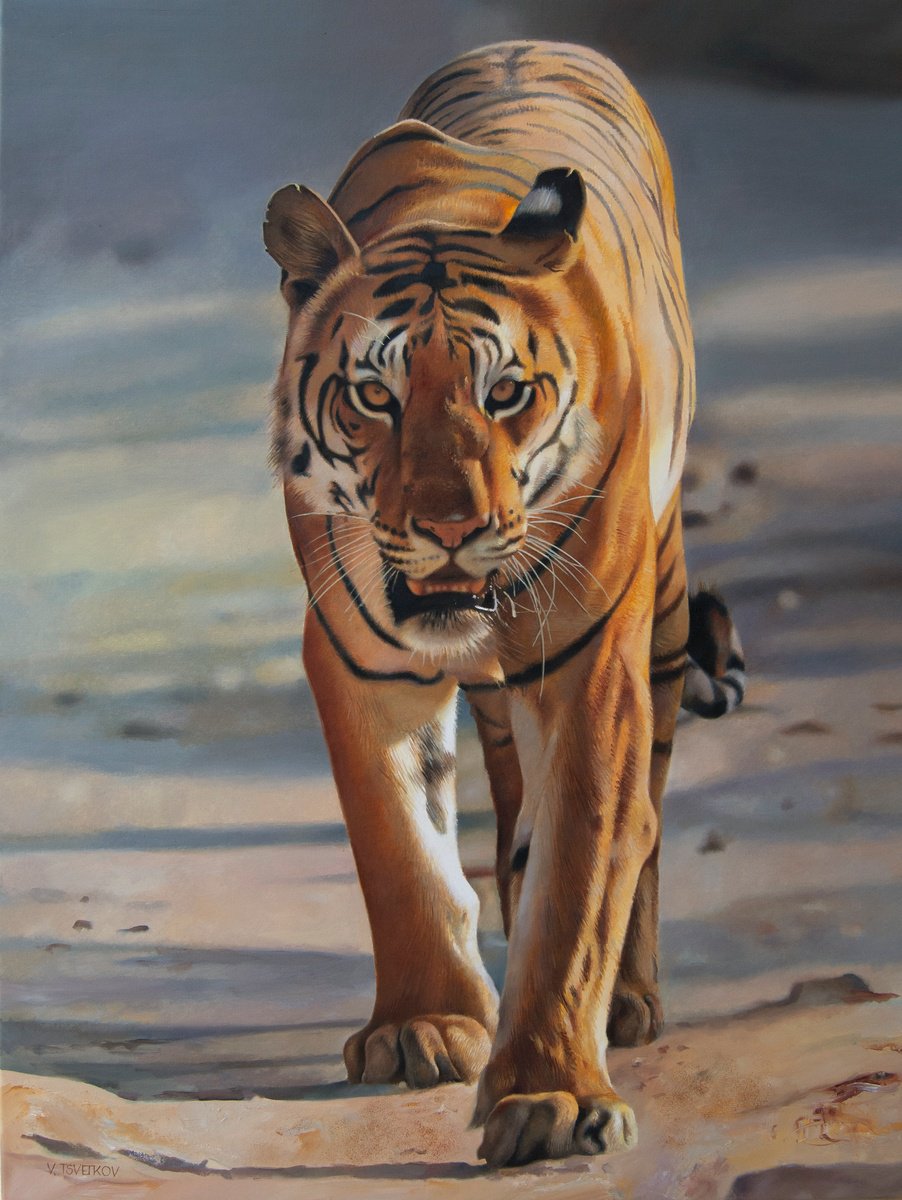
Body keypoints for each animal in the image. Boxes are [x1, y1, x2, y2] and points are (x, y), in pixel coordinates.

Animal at [263, 39, 745, 1168]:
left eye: (505, 393)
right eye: (375, 396)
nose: (448, 526)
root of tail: (536, 43)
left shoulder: (590, 665)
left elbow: (581, 870)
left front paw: (553, 1095)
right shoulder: (356, 656)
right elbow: (399, 841)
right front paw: (426, 1024)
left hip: (661, 614)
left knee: (645, 813)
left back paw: (629, 1001)